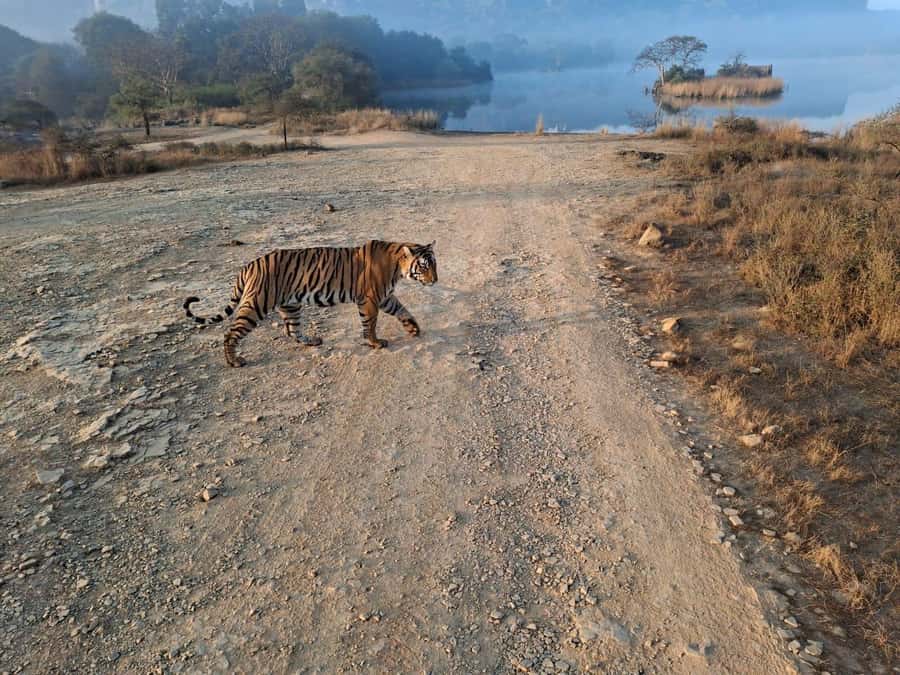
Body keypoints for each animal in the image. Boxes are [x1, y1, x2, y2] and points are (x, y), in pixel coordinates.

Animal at [183, 240, 437, 367]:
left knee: (292, 330)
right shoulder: (371, 298)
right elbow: (371, 323)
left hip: (290, 305)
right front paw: (375, 342)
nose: (435, 280)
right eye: (424, 266)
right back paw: (234, 361)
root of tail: (249, 265)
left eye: (434, 264)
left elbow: (402, 310)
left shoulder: (385, 297)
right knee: (231, 333)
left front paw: (413, 329)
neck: (397, 267)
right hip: (256, 304)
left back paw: (312, 341)